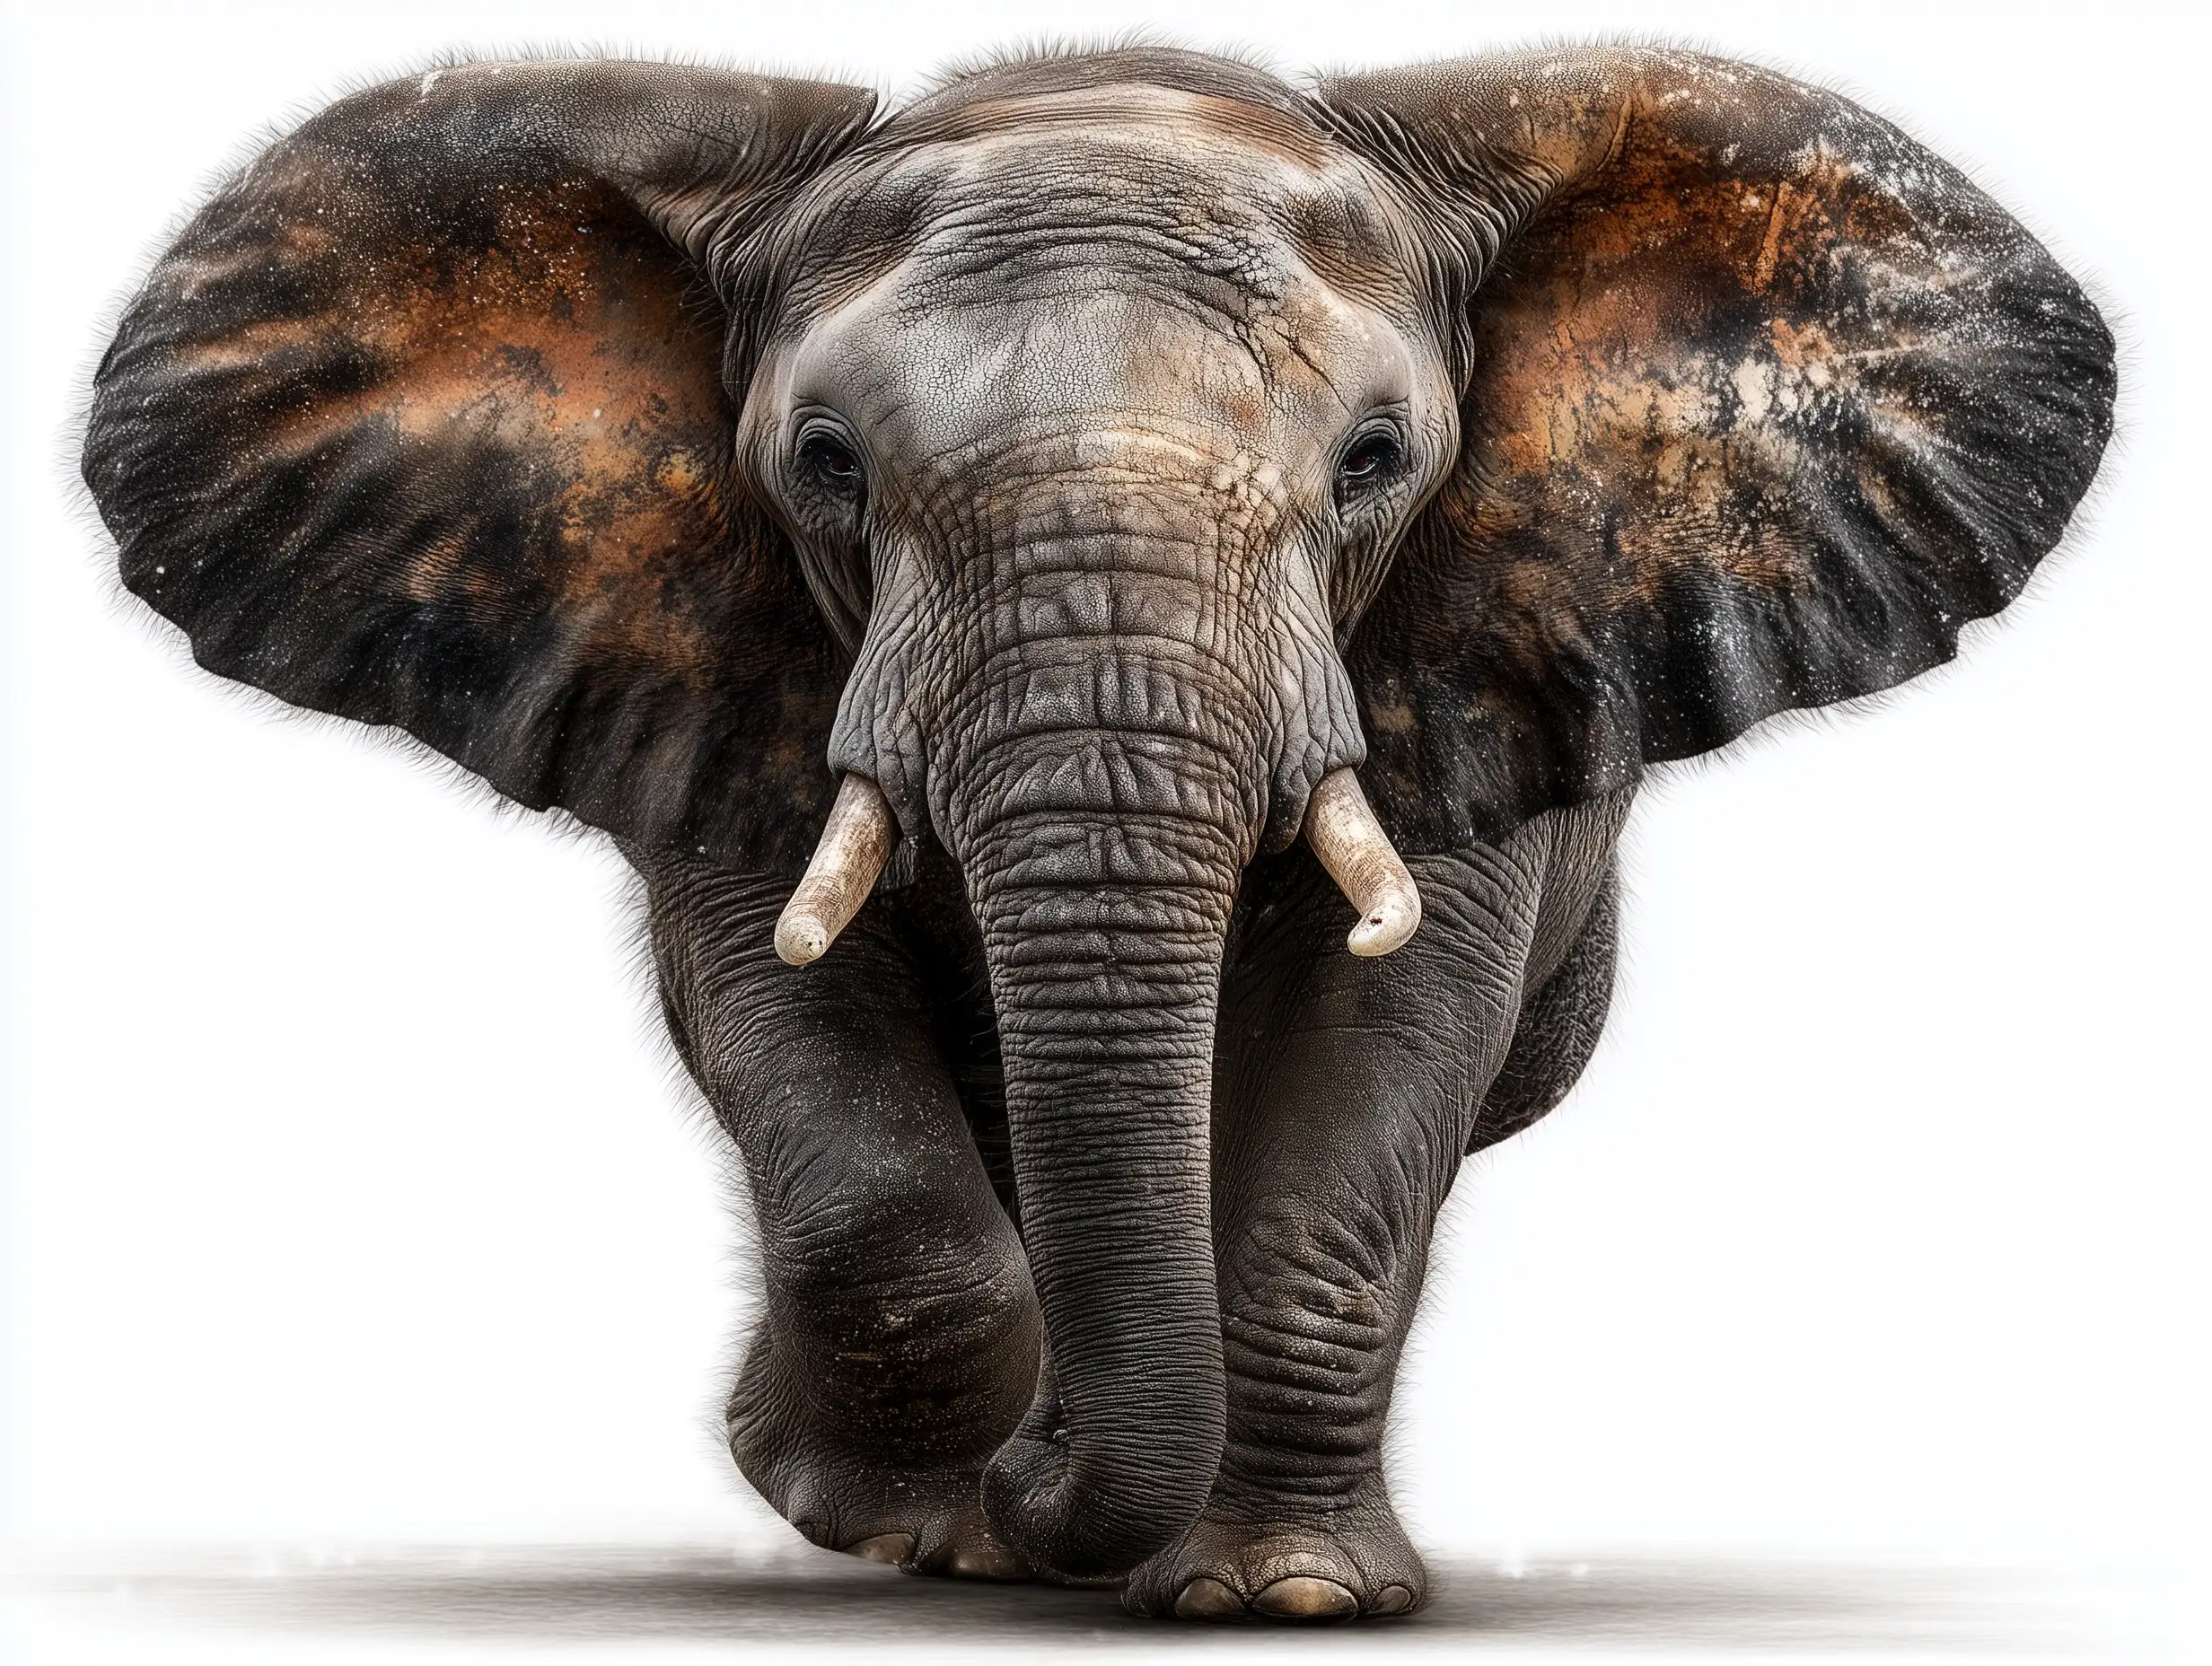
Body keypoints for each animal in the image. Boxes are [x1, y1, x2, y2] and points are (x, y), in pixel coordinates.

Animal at [80, 43, 2112, 1622]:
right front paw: (917, 1522)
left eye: (1373, 462)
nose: (1047, 1481)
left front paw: (1271, 1597)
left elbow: (1383, 1051)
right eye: (823, 464)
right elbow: (811, 1058)